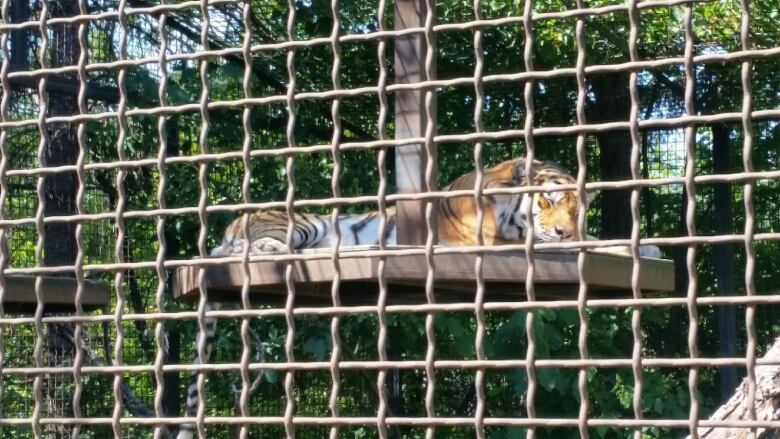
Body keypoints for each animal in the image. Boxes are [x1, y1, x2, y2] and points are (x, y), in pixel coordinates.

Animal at [175, 156, 660, 438]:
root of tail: (230, 225)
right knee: (254, 248)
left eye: (579, 208)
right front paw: (626, 247)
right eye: (547, 201)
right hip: (297, 223)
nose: (564, 230)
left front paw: (646, 247)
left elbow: (599, 241)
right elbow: (583, 247)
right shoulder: (492, 243)